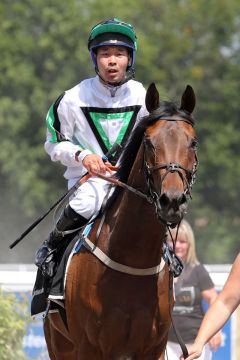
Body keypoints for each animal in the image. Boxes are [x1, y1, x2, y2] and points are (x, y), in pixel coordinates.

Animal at [43, 83, 197, 358]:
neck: (133, 259)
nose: (172, 201)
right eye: (149, 142)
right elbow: (56, 141)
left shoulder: (153, 347)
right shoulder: (90, 346)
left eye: (193, 142)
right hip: (59, 343)